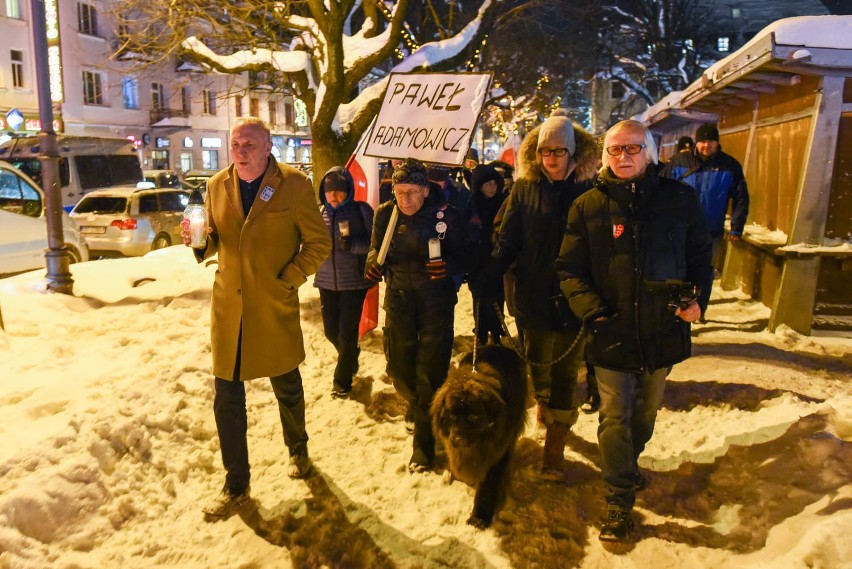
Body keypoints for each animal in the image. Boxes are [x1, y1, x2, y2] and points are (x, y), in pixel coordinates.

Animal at [432, 344, 524, 532]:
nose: (458, 439)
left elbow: (488, 485)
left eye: (472, 417)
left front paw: (479, 517)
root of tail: (498, 345)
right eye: (451, 416)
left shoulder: (497, 454)